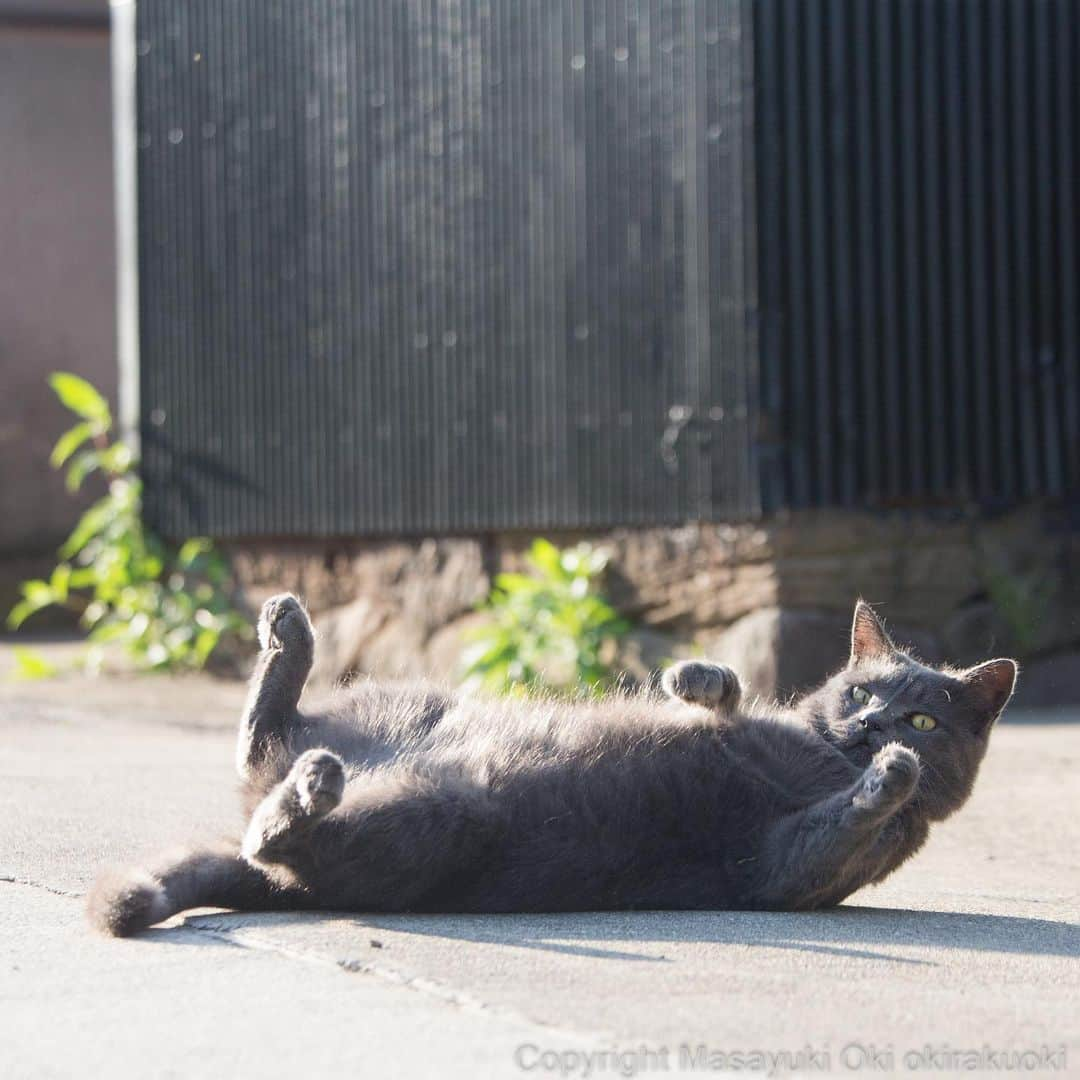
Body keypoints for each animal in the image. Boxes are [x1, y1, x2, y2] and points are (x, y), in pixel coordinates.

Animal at [88, 596, 1015, 933]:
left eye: (923, 717)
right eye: (858, 690)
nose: (872, 729)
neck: (816, 752)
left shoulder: (785, 871)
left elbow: (829, 828)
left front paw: (892, 774)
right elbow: (725, 697)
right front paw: (697, 678)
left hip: (443, 820)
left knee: (277, 832)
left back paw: (308, 787)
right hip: (405, 702)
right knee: (264, 739)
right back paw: (289, 636)